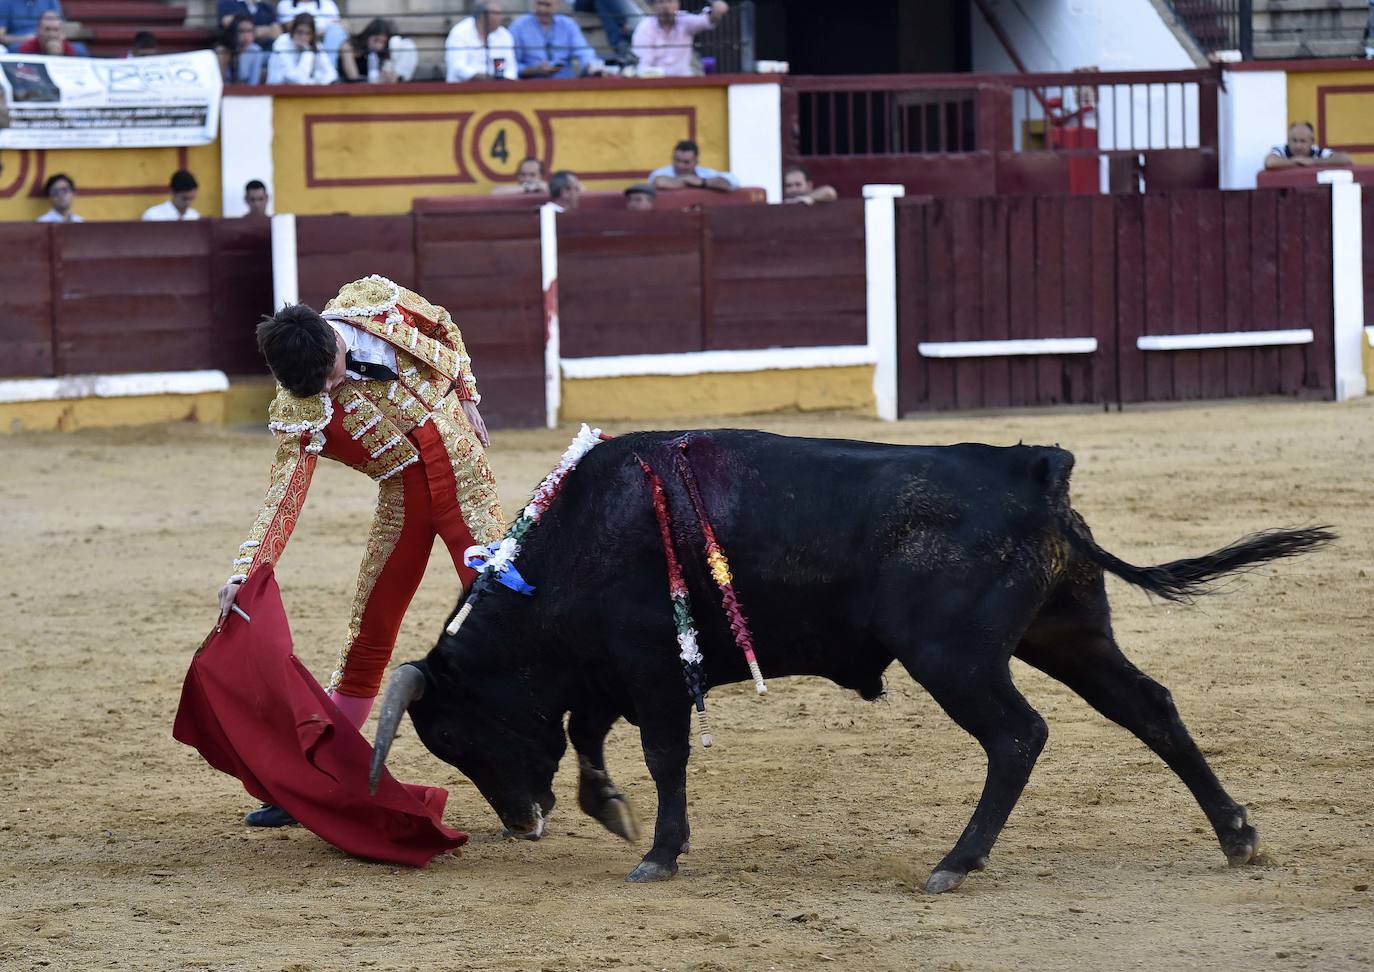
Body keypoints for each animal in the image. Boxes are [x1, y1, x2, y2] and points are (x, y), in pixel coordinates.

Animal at [368, 434, 1330, 896]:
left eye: (456, 735)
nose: (522, 823)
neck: (575, 540)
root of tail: (1034, 474)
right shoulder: (613, 672)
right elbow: (589, 734)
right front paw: (610, 810)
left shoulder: (651, 666)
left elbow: (659, 754)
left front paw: (660, 853)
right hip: (1069, 635)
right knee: (1151, 707)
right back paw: (1237, 834)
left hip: (955, 658)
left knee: (1019, 736)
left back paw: (956, 862)